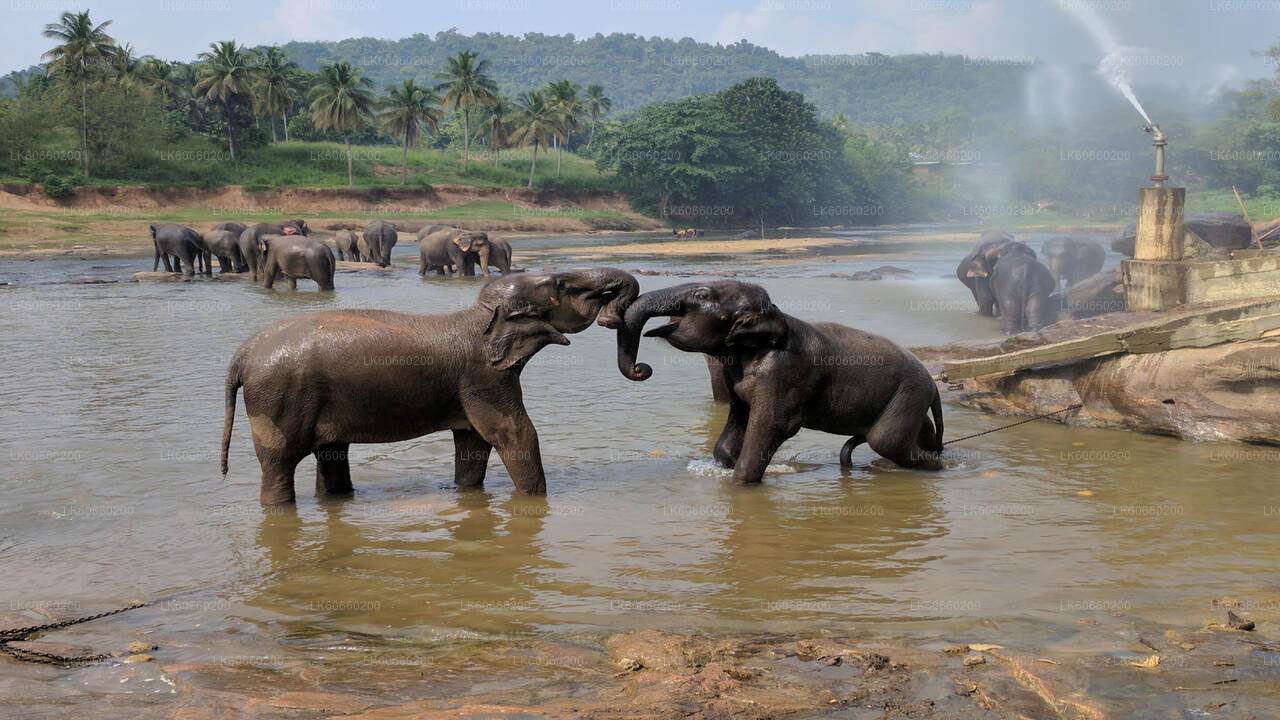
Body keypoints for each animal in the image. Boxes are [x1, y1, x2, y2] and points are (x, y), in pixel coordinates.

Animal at [221, 265, 645, 504]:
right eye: (560, 285)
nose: (610, 316)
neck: (477, 317)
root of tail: (241, 355)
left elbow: (474, 443)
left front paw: (466, 497)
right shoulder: (484, 376)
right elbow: (514, 433)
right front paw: (535, 503)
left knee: (331, 455)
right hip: (279, 399)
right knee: (279, 463)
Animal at [614, 280, 947, 481]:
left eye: (701, 295)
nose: (641, 368)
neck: (776, 317)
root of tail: (934, 386)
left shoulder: (783, 373)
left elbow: (772, 426)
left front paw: (741, 484)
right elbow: (736, 425)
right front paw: (726, 464)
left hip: (908, 394)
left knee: (886, 440)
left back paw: (936, 470)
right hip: (908, 400)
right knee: (919, 434)